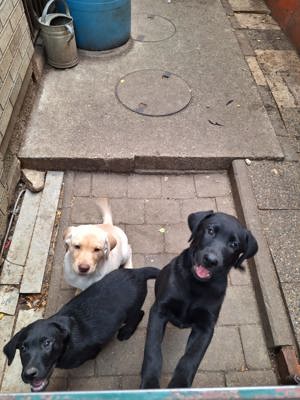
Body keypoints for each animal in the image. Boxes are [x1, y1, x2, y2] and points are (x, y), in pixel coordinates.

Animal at [4, 268, 159, 392]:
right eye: (23, 348)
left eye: (47, 343)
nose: (29, 374)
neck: (68, 344)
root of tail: (137, 272)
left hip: (131, 310)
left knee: (140, 313)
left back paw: (126, 332)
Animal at [141, 211, 258, 390]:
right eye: (210, 230)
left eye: (234, 244)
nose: (211, 260)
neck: (196, 284)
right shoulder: (159, 310)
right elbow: (152, 349)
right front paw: (150, 384)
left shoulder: (206, 326)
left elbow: (191, 357)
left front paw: (179, 386)